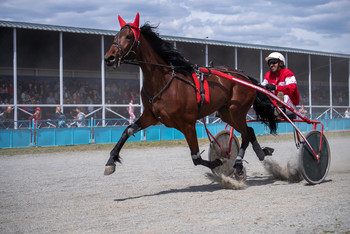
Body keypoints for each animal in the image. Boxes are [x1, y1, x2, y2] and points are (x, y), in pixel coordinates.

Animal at [103, 13, 276, 179]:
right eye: (115, 36)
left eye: (128, 36)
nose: (109, 58)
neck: (163, 82)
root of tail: (244, 77)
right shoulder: (151, 116)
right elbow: (128, 131)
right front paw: (111, 161)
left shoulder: (188, 123)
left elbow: (196, 158)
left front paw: (218, 161)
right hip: (227, 113)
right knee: (250, 131)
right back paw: (261, 152)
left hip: (237, 111)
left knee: (245, 135)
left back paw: (239, 166)